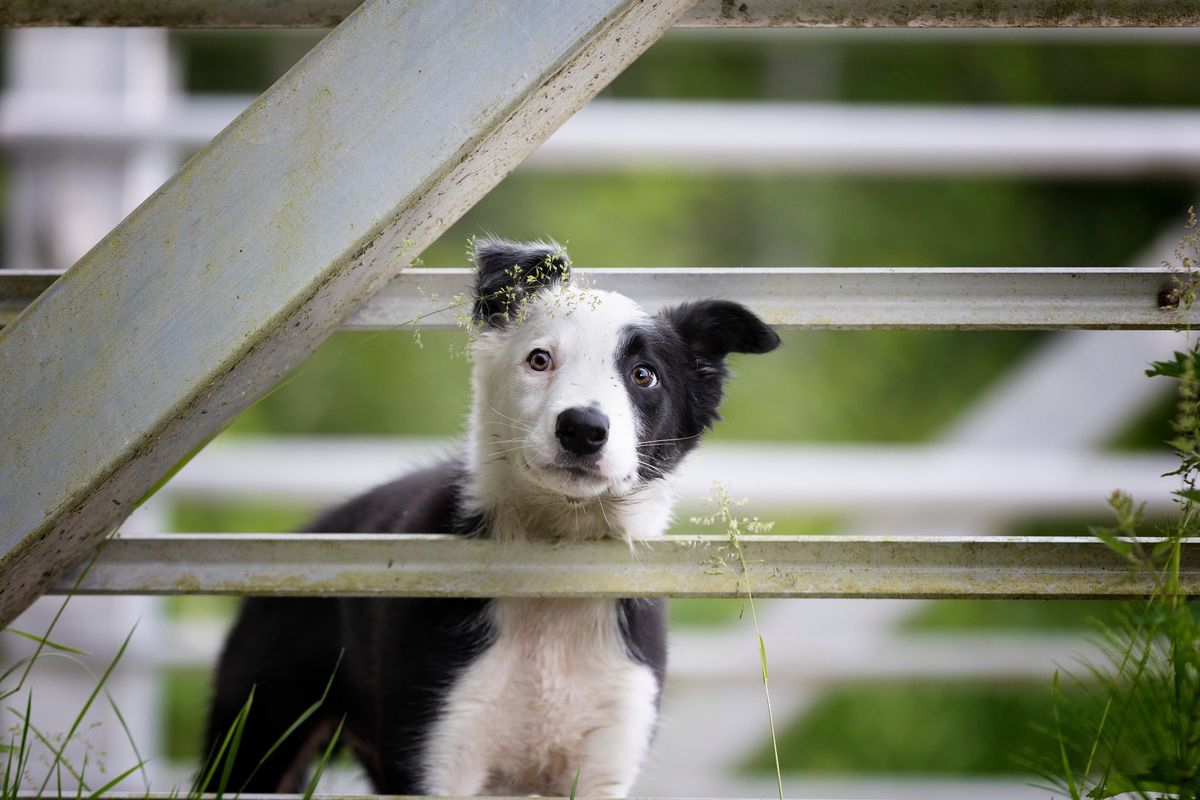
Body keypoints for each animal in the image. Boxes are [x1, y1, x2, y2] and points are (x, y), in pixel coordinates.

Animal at [205, 237, 777, 796]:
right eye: (540, 360)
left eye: (644, 375)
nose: (582, 429)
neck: (555, 564)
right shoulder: (436, 745)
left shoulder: (605, 760)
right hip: (258, 730)